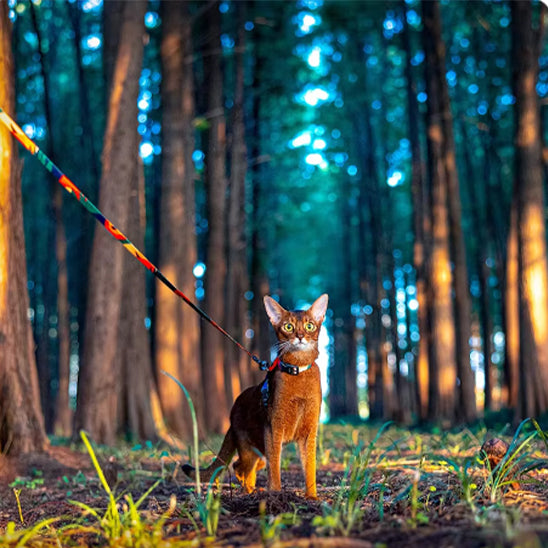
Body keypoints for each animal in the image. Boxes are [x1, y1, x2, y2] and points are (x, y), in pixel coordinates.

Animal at [182, 294, 328, 498]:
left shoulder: (309, 431)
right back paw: (249, 492)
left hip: (259, 451)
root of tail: (232, 414)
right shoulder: (274, 428)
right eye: (288, 327)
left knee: (242, 466)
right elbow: (274, 468)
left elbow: (310, 467)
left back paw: (252, 490)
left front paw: (312, 497)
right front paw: (275, 494)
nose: (300, 337)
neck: (298, 370)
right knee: (239, 466)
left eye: (309, 326)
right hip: (252, 447)